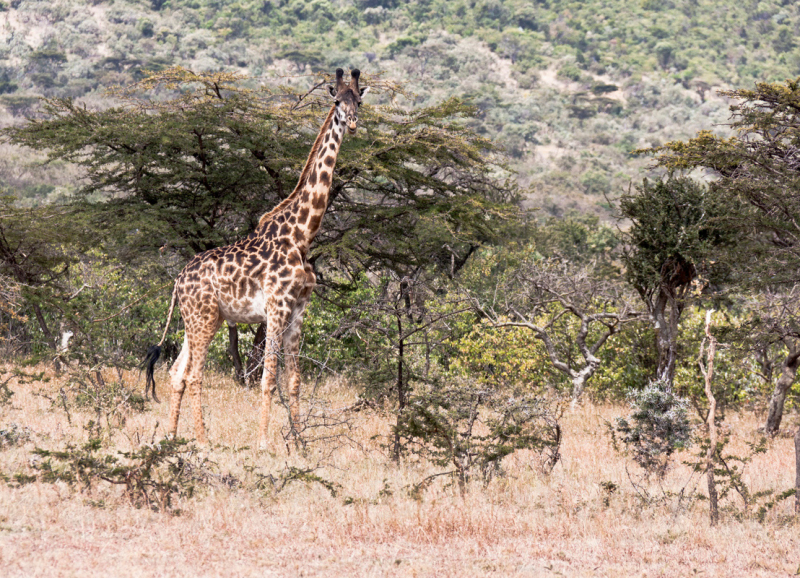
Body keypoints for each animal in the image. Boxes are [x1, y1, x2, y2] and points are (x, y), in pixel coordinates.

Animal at [145, 70, 368, 448]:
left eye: (359, 101)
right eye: (338, 101)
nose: (352, 123)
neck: (302, 235)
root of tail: (177, 282)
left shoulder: (299, 309)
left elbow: (293, 381)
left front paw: (300, 443)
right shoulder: (276, 307)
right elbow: (267, 378)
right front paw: (264, 443)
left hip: (197, 321)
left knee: (176, 372)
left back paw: (172, 437)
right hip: (204, 319)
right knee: (194, 376)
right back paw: (202, 441)